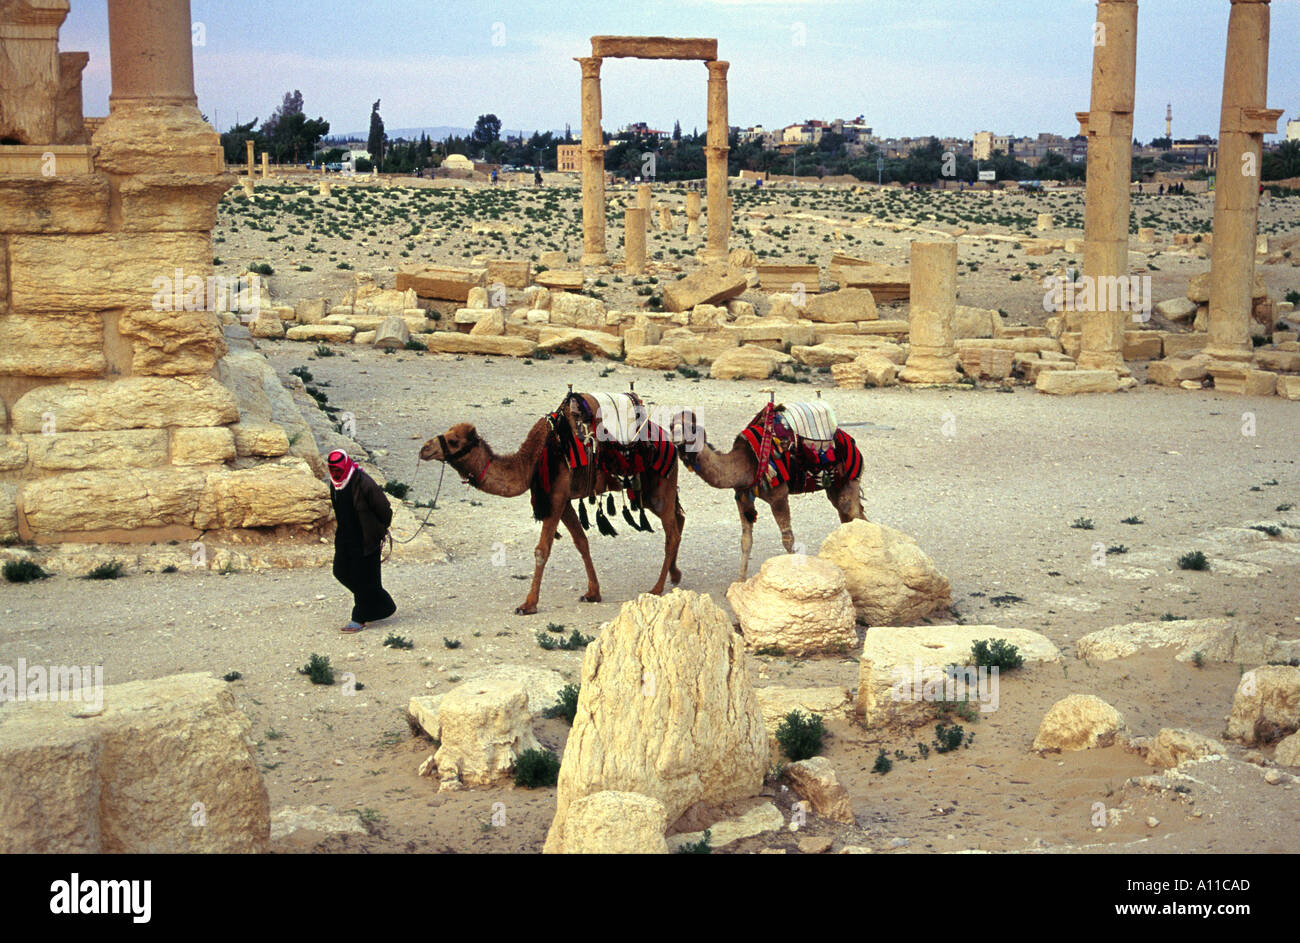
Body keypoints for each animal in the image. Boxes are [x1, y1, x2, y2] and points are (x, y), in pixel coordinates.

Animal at [421, 392, 686, 613]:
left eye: (454, 441)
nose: (424, 448)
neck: (531, 461)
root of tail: (669, 440)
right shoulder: (563, 500)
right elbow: (581, 542)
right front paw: (593, 592)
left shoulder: (556, 495)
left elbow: (542, 550)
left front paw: (528, 604)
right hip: (648, 491)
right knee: (679, 519)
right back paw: (675, 574)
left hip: (659, 487)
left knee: (671, 532)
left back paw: (656, 588)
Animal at [676, 405, 868, 577]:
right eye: (672, 425)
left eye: (691, 428)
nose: (677, 439)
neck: (745, 461)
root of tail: (848, 438)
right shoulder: (742, 496)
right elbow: (746, 540)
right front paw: (739, 581)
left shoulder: (779, 496)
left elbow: (788, 539)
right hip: (835, 486)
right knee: (849, 515)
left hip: (850, 477)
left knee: (854, 514)